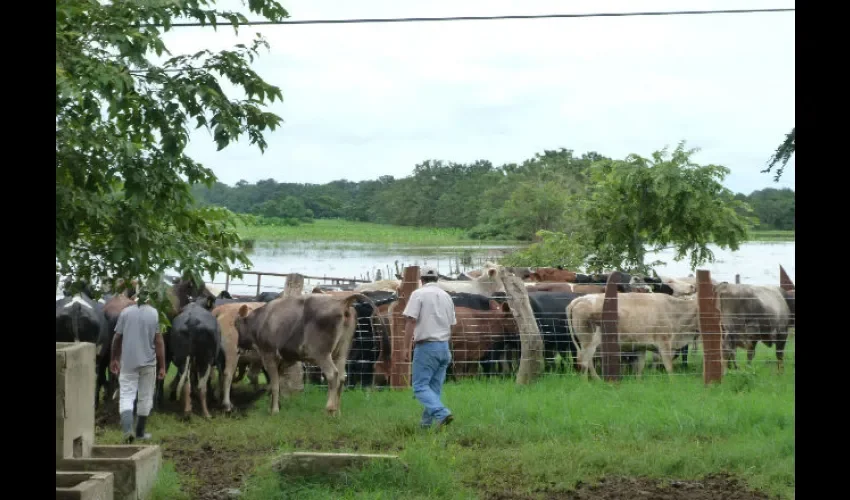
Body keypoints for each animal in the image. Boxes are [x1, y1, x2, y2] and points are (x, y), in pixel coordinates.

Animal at [232, 292, 368, 414]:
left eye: (236, 325)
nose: (238, 348)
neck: (261, 321)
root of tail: (342, 302)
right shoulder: (283, 360)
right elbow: (275, 384)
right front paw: (275, 405)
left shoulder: (268, 354)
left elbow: (275, 385)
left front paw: (274, 411)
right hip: (341, 353)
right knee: (341, 377)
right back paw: (337, 412)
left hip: (321, 353)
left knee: (332, 374)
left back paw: (330, 408)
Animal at [568, 292, 700, 378]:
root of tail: (581, 298)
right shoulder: (664, 343)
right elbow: (669, 367)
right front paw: (673, 383)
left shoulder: (641, 346)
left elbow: (640, 367)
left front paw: (638, 382)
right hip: (589, 342)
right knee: (585, 362)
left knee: (588, 362)